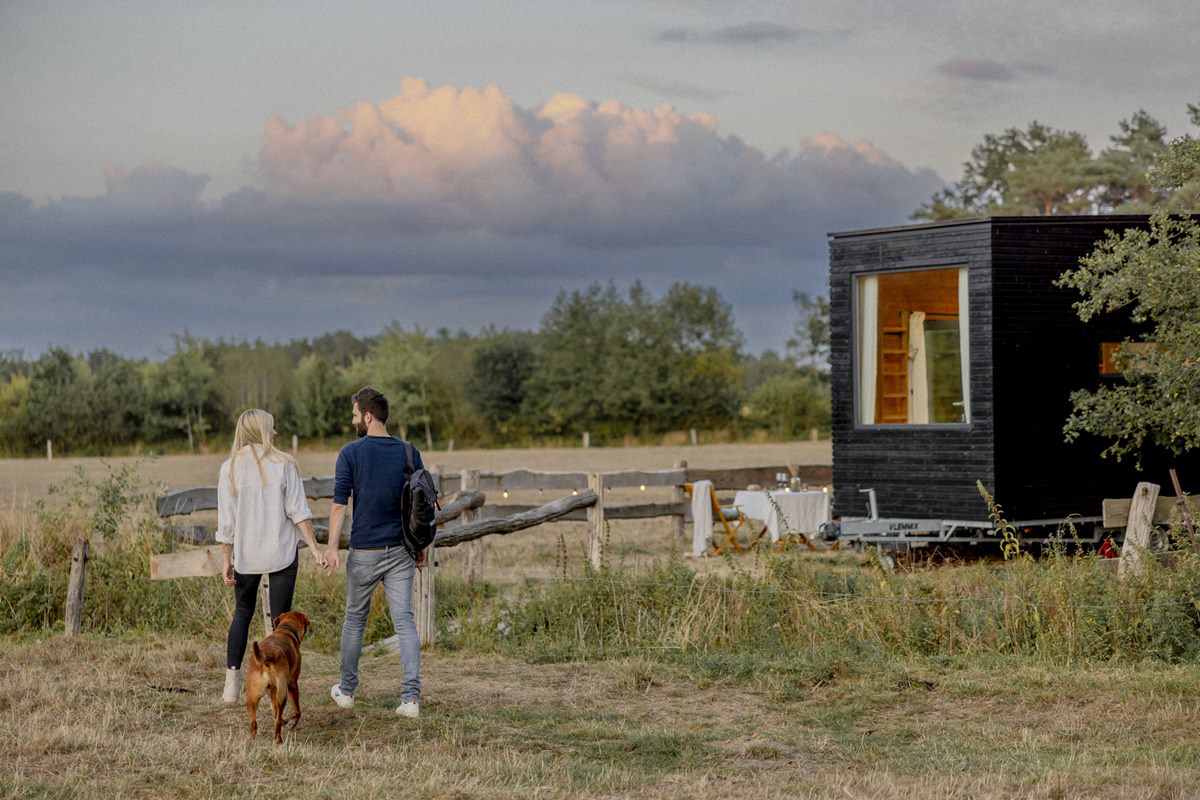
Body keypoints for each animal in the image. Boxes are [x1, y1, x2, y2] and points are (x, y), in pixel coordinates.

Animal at [246, 614, 312, 743]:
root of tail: (267, 657)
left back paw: (252, 741)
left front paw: (285, 720)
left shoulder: (272, 689)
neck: (286, 629)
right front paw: (291, 723)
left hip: (252, 697)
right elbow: (297, 711)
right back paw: (278, 740)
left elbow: (275, 711)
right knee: (276, 722)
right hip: (282, 694)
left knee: (253, 722)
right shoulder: (292, 684)